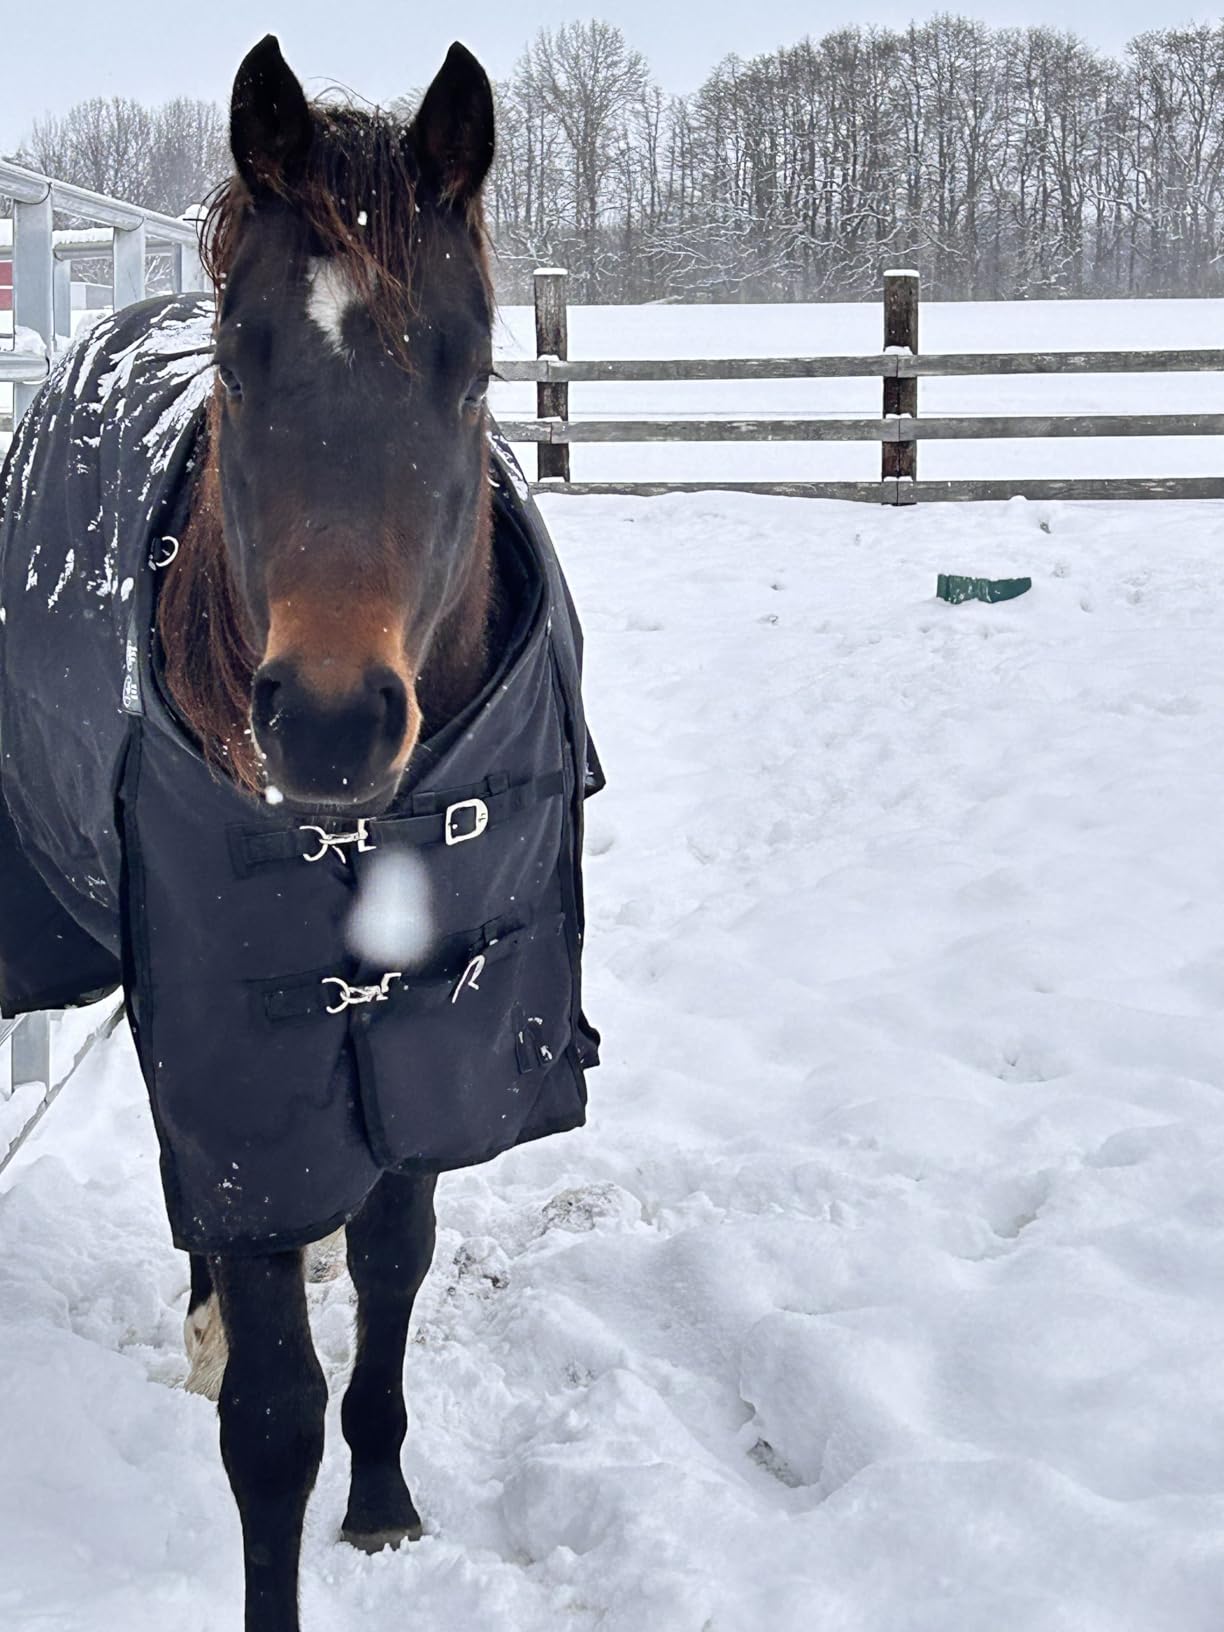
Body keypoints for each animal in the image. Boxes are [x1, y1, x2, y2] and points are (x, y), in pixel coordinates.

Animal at [0, 36, 600, 1632]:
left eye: (473, 367)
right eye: (235, 355)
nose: (328, 723)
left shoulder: (439, 1035)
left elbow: (394, 1259)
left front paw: (384, 1498)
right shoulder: (235, 1049)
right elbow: (269, 1414)